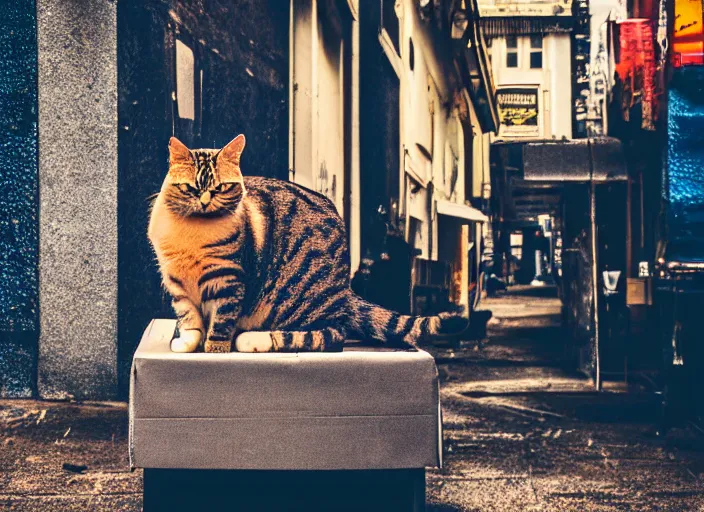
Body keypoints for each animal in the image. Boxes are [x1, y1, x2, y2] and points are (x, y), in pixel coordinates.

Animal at [148, 134, 468, 354]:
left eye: (222, 187)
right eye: (190, 188)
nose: (205, 201)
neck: (194, 235)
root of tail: (344, 291)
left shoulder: (229, 281)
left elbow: (222, 321)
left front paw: (214, 349)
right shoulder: (176, 283)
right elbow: (189, 318)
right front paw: (187, 342)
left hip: (297, 300)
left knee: (328, 336)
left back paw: (253, 340)